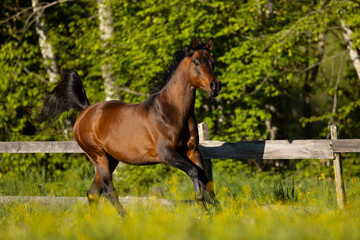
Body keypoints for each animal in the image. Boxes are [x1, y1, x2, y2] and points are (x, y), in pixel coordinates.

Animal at [38, 38, 221, 215]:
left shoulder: (192, 151)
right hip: (98, 156)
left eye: (213, 61)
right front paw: (202, 208)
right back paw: (125, 218)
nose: (215, 86)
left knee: (93, 193)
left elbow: (206, 179)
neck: (173, 111)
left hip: (110, 159)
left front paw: (217, 211)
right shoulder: (167, 154)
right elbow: (195, 172)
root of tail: (85, 110)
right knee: (109, 191)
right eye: (196, 62)